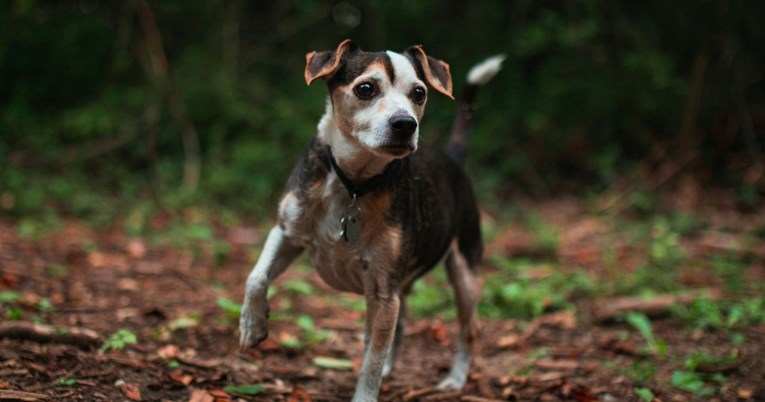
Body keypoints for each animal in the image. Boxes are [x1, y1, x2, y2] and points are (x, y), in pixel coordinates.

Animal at [239, 38, 502, 402]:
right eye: (365, 88)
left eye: (419, 93)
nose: (405, 124)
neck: (353, 184)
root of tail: (452, 158)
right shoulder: (286, 232)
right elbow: (256, 276)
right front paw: (253, 326)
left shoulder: (382, 291)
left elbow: (372, 359)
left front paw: (366, 391)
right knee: (402, 324)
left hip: (464, 269)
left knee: (468, 329)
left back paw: (455, 379)